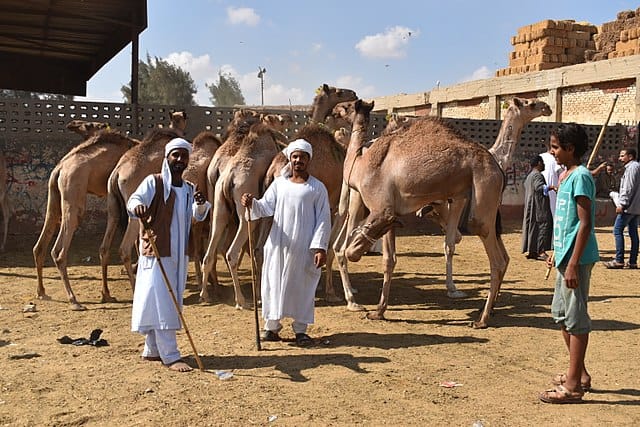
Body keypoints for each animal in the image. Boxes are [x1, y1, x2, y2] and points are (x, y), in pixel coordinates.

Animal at [32, 130, 139, 310]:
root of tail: (60, 168)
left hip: (54, 196)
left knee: (41, 243)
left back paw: (42, 293)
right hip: (74, 192)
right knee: (59, 250)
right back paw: (74, 300)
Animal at [340, 99, 508, 328]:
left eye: (346, 106)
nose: (336, 110)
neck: (359, 165)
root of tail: (499, 170)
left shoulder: (380, 207)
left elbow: (353, 251)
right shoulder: (389, 212)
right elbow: (389, 259)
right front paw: (379, 311)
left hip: (483, 193)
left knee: (495, 257)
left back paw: (481, 319)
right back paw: (490, 310)